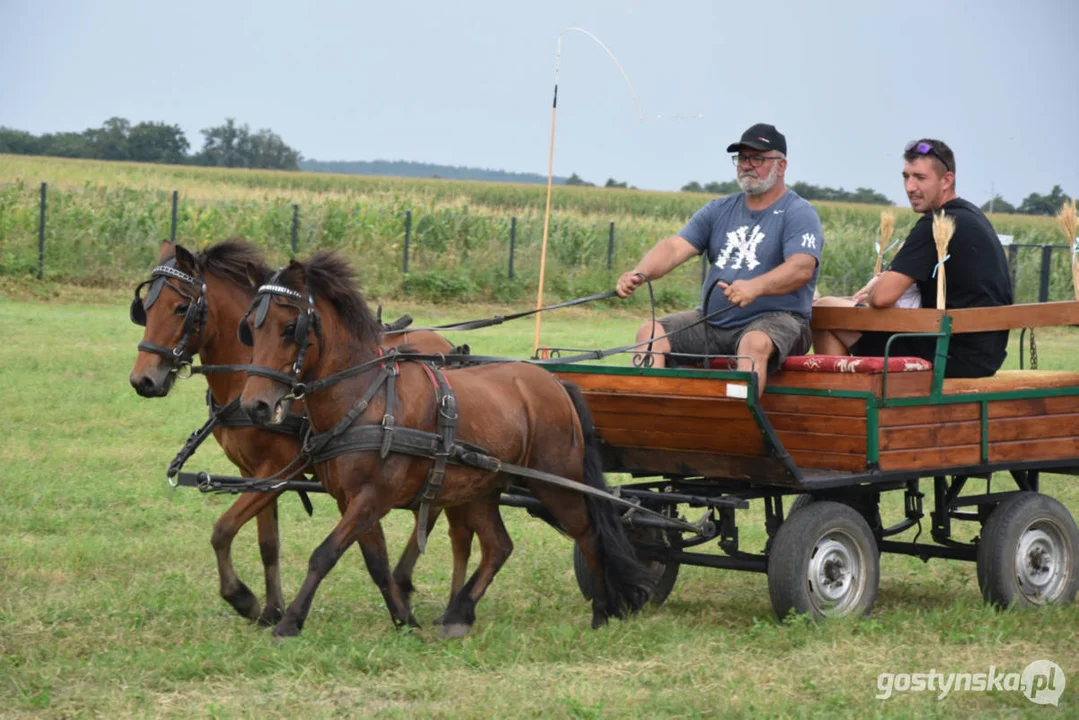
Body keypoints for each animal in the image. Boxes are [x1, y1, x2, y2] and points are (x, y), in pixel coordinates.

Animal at [129, 239, 455, 626]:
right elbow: (268, 544)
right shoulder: (253, 474)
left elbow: (223, 529)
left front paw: (242, 598)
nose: (142, 380)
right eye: (145, 308)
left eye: (181, 308)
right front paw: (272, 609)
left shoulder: (279, 469)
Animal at [239, 250, 651, 639]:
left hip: (556, 485)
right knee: (498, 546)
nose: (255, 405)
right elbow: (375, 563)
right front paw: (405, 619)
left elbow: (324, 554)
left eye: (290, 328)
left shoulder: (372, 497)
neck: (367, 397)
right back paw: (458, 613)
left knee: (589, 535)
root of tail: (555, 384)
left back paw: (600, 611)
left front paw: (289, 622)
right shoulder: (351, 500)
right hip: (481, 490)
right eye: (251, 330)